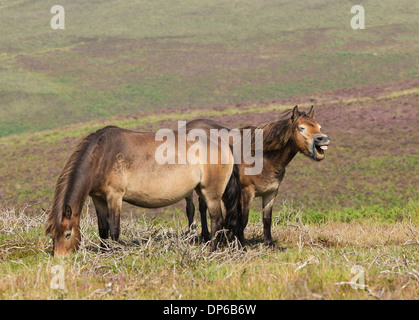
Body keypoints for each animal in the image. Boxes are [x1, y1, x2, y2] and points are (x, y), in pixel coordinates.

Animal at [45, 125, 243, 255]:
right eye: (51, 234)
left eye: (68, 234)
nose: (60, 259)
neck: (102, 156)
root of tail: (224, 145)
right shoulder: (98, 199)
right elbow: (103, 229)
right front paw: (103, 252)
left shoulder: (114, 197)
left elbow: (114, 229)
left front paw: (114, 253)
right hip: (204, 191)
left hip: (211, 193)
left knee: (217, 219)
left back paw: (211, 251)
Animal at [185, 105, 330, 245]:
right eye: (301, 128)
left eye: (319, 127)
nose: (323, 139)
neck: (262, 158)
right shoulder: (246, 193)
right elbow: (243, 220)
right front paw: (237, 242)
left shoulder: (270, 193)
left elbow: (267, 219)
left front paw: (269, 243)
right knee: (191, 208)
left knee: (202, 206)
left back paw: (206, 236)